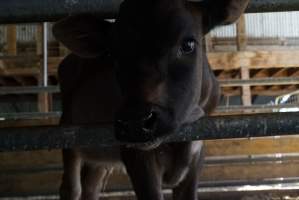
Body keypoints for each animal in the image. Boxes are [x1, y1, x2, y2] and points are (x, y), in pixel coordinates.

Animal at [54, 0, 251, 199]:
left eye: (188, 44)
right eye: (112, 55)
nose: (135, 121)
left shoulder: (198, 149)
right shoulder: (135, 154)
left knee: (91, 186)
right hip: (68, 130)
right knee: (71, 187)